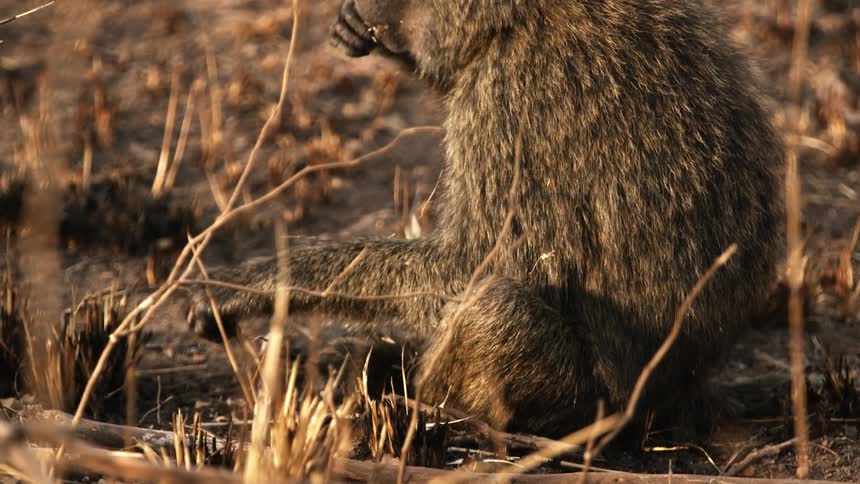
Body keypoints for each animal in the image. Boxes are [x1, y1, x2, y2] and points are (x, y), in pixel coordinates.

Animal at [187, 0, 784, 437]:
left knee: (497, 304)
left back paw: (452, 410)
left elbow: (473, 264)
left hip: (603, 400)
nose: (372, 10)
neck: (528, 15)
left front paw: (256, 283)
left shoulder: (511, 100)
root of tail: (683, 394)